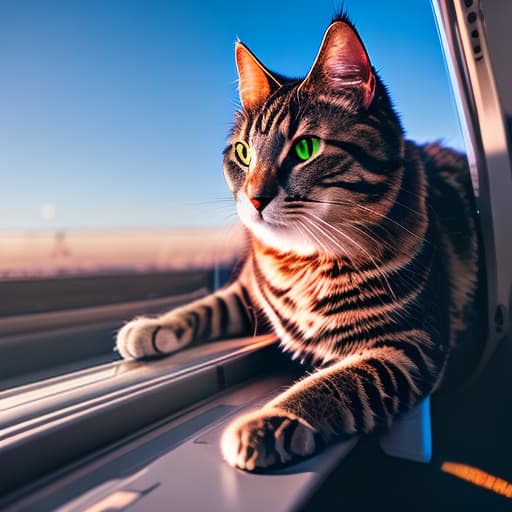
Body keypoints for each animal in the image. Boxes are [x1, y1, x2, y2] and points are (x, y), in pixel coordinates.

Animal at [115, 13, 484, 472]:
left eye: (306, 148)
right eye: (243, 153)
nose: (254, 197)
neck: (303, 263)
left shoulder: (411, 345)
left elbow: (337, 383)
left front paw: (271, 421)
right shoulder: (252, 292)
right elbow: (205, 307)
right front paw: (150, 327)